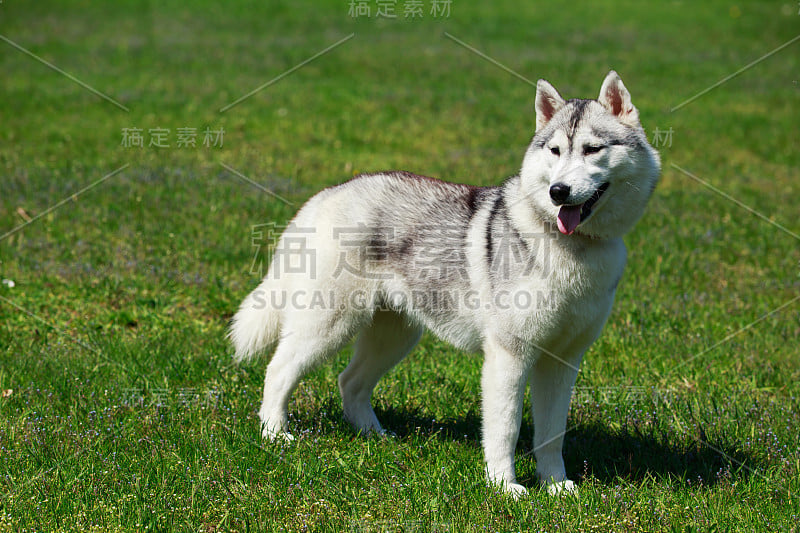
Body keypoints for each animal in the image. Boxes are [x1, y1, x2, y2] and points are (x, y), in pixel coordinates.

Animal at [228, 70, 660, 494]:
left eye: (592, 149)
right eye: (554, 151)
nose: (558, 192)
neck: (573, 248)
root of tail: (329, 193)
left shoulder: (562, 361)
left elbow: (552, 434)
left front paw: (555, 485)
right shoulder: (509, 355)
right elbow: (505, 428)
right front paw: (504, 486)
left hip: (396, 335)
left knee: (349, 381)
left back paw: (375, 436)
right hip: (328, 325)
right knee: (278, 370)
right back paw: (275, 434)